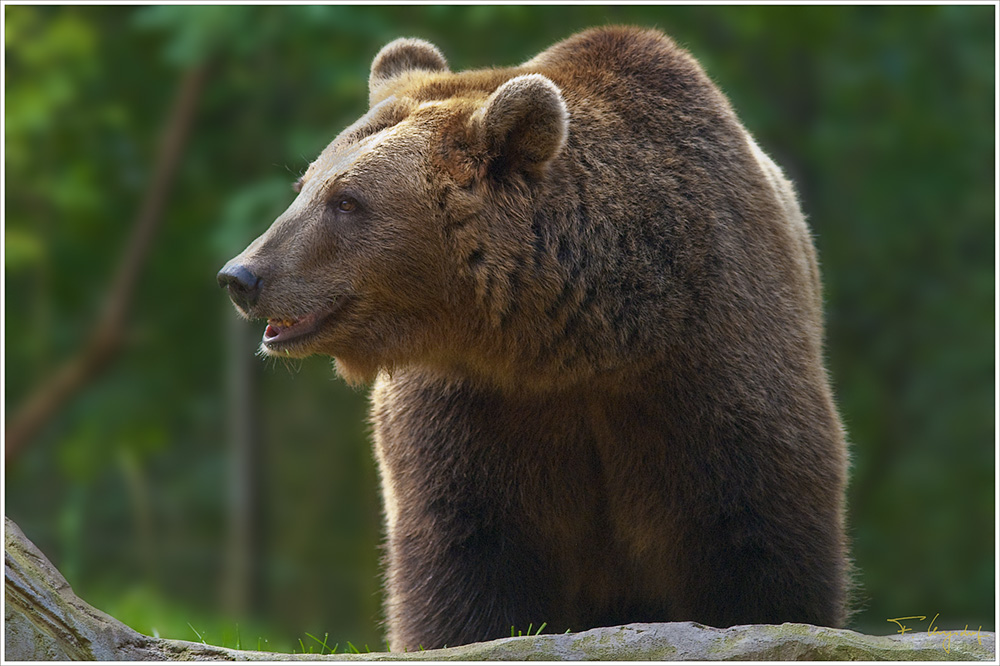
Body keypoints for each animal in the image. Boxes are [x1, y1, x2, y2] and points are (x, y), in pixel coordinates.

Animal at [219, 26, 852, 648]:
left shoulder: (710, 364)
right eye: (304, 185)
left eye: (347, 200)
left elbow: (753, 536)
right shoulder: (473, 407)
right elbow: (465, 550)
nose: (241, 276)